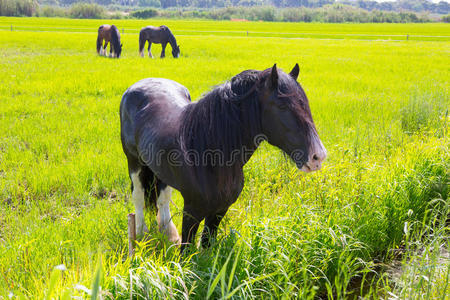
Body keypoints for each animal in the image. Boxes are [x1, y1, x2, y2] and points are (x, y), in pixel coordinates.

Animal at [119, 63, 326, 251]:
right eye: (282, 106)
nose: (318, 156)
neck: (209, 156)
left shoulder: (219, 210)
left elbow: (206, 246)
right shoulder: (192, 211)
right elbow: (186, 251)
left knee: (162, 197)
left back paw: (168, 235)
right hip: (134, 162)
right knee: (138, 196)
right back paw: (141, 236)